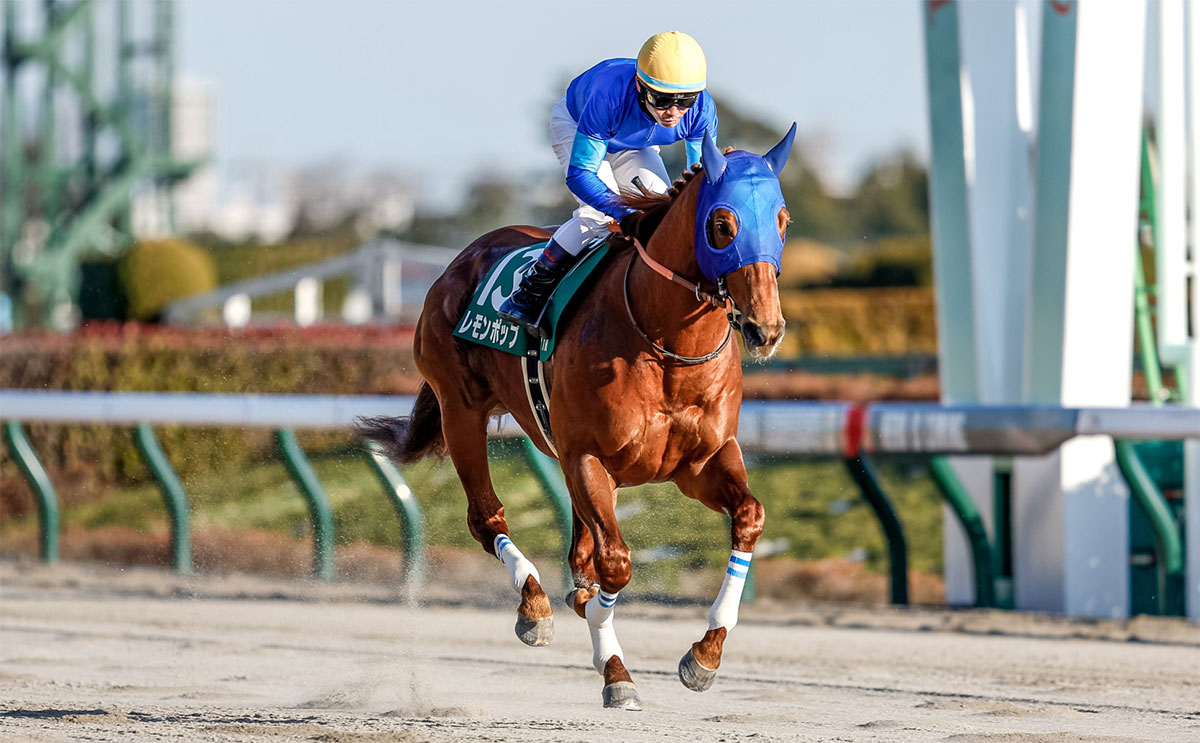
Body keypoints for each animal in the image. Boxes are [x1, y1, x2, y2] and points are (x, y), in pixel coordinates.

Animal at [360, 126, 801, 710]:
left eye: (782, 220)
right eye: (722, 225)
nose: (764, 328)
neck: (665, 346)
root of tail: (464, 258)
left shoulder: (701, 461)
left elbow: (749, 517)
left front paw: (704, 655)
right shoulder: (589, 457)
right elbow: (616, 563)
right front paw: (616, 672)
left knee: (578, 556)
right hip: (461, 411)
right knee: (488, 518)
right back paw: (534, 607)